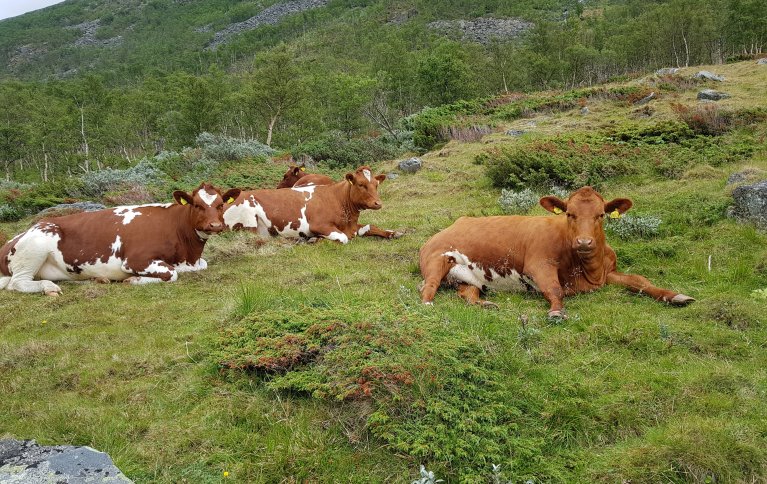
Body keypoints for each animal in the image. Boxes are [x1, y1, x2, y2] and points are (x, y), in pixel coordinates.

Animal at [0, 182, 240, 294]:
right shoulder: (135, 259)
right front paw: (133, 280)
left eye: (221, 204)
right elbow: (171, 274)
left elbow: (202, 265)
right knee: (17, 283)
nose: (215, 225)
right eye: (197, 205)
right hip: (36, 245)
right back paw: (49, 288)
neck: (188, 254)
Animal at [226, 165, 402, 242]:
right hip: (249, 221)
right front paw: (316, 239)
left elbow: (369, 227)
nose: (378, 203)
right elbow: (343, 237)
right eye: (361, 184)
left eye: (376, 184)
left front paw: (393, 232)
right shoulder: (318, 225)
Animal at [420, 186, 696, 318]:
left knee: (468, 293)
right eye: (569, 214)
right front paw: (556, 311)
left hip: (469, 279)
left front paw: (675, 295)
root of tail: (455, 223)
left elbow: (640, 281)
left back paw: (486, 304)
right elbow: (554, 289)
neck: (589, 270)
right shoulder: (538, 265)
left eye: (601, 215)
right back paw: (428, 305)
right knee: (428, 287)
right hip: (437, 261)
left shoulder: (609, 273)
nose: (584, 242)